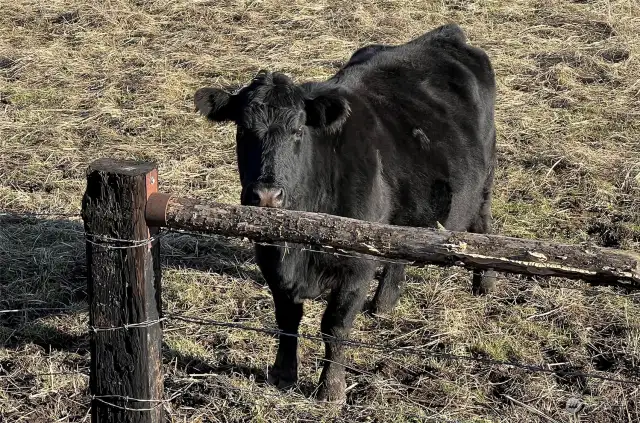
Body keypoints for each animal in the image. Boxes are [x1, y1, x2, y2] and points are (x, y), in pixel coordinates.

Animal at [195, 24, 496, 402]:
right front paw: (283, 374)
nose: (265, 195)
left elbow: (335, 327)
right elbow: (287, 320)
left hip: (483, 184)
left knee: (482, 224)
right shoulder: (269, 258)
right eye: (243, 129)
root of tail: (445, 35)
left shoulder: (357, 264)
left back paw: (484, 283)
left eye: (298, 130)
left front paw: (331, 390)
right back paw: (384, 303)